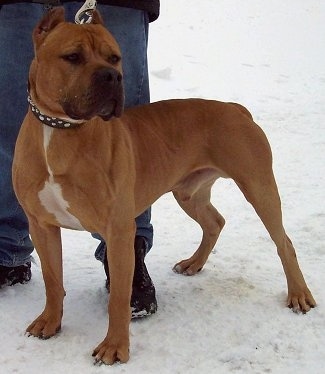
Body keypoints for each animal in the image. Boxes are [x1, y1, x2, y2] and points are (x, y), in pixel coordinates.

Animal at [12, 7, 314, 366]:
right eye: (72, 57)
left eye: (114, 58)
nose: (112, 77)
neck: (59, 130)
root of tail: (235, 109)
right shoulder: (41, 225)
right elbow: (52, 279)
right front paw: (50, 322)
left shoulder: (118, 230)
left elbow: (118, 298)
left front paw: (115, 346)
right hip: (189, 192)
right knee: (215, 221)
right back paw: (194, 263)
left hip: (259, 186)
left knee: (284, 242)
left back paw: (299, 294)